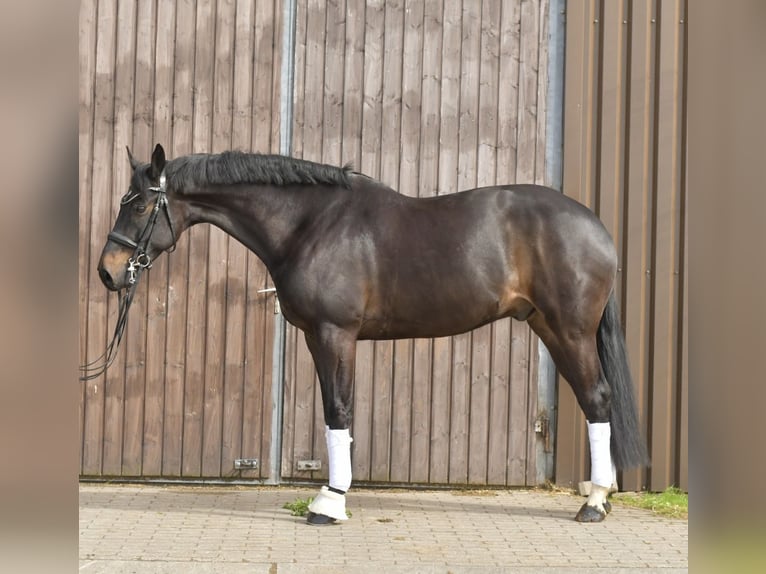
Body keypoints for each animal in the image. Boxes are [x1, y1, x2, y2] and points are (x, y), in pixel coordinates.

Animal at [90, 143, 648, 524]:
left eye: (139, 206)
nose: (109, 273)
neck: (310, 224)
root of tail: (596, 227)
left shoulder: (334, 333)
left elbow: (338, 410)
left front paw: (328, 503)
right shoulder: (321, 337)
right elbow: (336, 411)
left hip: (569, 331)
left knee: (597, 400)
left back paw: (595, 501)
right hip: (548, 327)